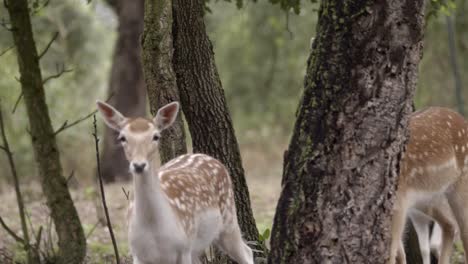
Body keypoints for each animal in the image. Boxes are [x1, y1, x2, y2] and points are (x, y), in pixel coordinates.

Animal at [96, 100, 254, 264]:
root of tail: (211, 158)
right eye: (122, 138)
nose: (139, 165)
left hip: (228, 219)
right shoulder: (137, 254)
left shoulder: (183, 248)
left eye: (156, 136)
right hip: (198, 247)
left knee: (247, 252)